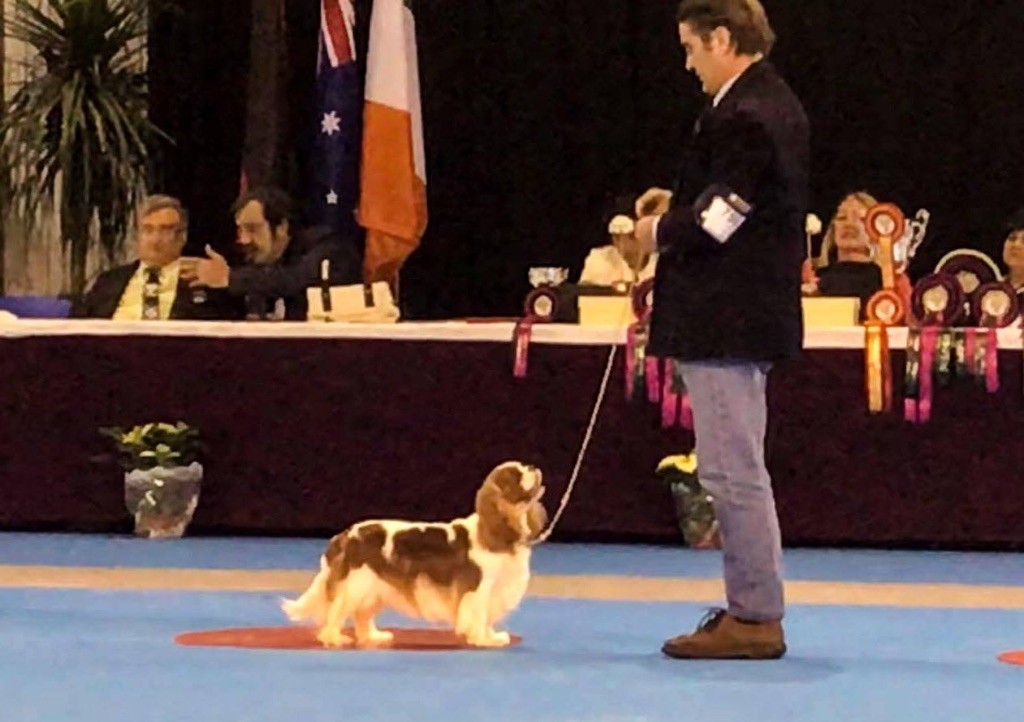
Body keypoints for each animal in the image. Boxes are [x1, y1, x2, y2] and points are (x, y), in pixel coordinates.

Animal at [281, 461, 548, 648]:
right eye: (515, 476)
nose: (533, 467)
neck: (498, 528)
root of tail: (345, 535)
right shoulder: (479, 588)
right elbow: (479, 613)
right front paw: (483, 639)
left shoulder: (496, 588)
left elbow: (487, 616)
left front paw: (490, 636)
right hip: (357, 583)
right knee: (337, 612)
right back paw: (334, 638)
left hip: (374, 587)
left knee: (362, 614)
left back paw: (373, 637)